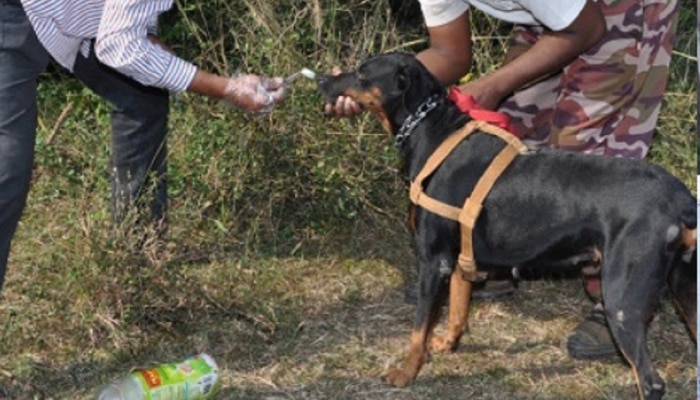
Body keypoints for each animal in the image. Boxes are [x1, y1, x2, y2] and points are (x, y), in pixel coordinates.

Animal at [318, 51, 696, 398]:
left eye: (363, 72)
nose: (322, 79)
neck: (433, 133)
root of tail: (679, 197)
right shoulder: (457, 260)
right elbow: (457, 309)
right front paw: (447, 344)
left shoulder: (432, 261)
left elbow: (418, 328)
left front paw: (407, 372)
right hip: (685, 288)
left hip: (622, 301)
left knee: (651, 381)